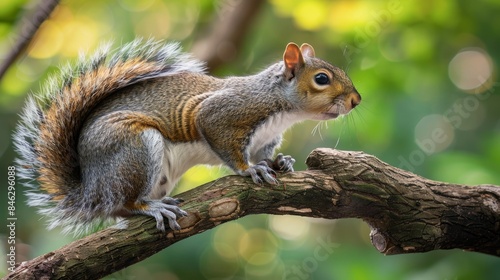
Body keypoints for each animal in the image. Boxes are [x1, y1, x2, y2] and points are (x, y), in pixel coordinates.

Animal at [13, 38, 360, 234]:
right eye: (321, 78)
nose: (356, 101)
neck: (280, 107)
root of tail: (90, 189)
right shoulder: (222, 114)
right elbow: (228, 147)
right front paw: (249, 170)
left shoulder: (265, 139)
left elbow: (266, 154)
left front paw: (281, 163)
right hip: (134, 150)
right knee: (124, 202)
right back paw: (152, 207)